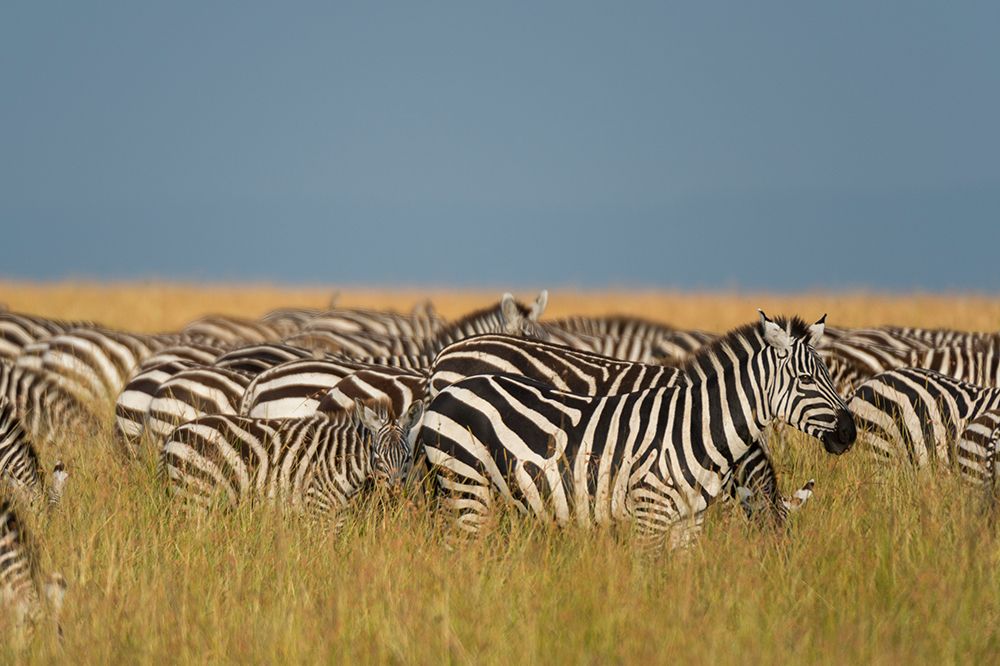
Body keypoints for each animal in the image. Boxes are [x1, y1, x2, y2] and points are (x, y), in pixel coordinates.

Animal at [159, 399, 425, 524]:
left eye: (408, 457)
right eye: (377, 456)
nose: (395, 491)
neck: (341, 460)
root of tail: (174, 433)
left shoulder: (339, 514)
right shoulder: (319, 508)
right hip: (197, 496)